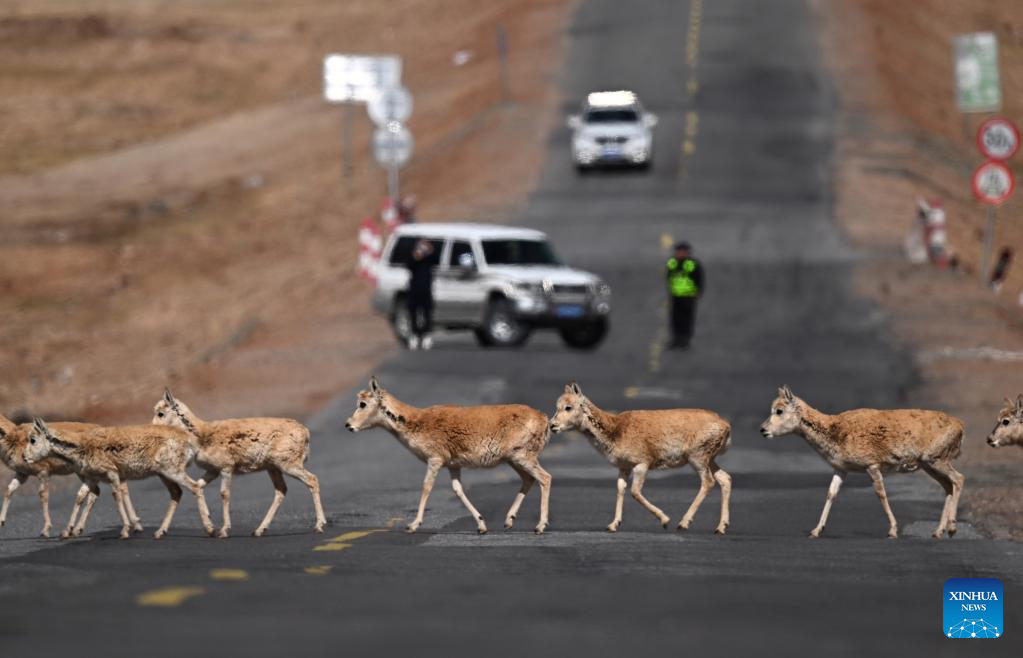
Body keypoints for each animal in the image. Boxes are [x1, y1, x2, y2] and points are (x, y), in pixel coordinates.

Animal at [0, 417, 142, 540]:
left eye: (33, 440)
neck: (12, 436)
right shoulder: (21, 474)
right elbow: (9, 490)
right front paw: (1, 521)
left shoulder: (43, 472)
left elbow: (43, 495)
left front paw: (45, 530)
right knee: (97, 492)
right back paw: (78, 529)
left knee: (109, 490)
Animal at [151, 388, 325, 536]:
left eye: (160, 413)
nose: (151, 429)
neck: (203, 434)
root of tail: (305, 432)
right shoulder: (212, 470)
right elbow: (198, 486)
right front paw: (208, 523)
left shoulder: (226, 468)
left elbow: (224, 494)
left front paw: (223, 531)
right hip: (273, 468)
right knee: (281, 490)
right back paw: (259, 530)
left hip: (288, 464)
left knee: (312, 480)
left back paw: (319, 526)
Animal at [343, 376, 552, 536]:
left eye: (362, 403)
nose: (348, 425)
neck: (415, 422)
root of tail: (544, 419)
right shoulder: (454, 465)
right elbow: (458, 490)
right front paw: (481, 525)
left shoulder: (434, 459)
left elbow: (426, 486)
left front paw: (413, 525)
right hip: (514, 459)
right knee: (528, 479)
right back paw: (509, 520)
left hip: (522, 456)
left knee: (545, 478)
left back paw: (539, 526)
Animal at [548, 382, 732, 532]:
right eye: (557, 406)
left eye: (568, 407)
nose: (552, 425)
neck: (615, 429)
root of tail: (726, 425)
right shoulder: (624, 467)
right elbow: (620, 489)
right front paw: (613, 525)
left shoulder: (642, 464)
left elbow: (635, 492)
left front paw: (665, 520)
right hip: (709, 459)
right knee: (725, 479)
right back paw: (721, 527)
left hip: (697, 458)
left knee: (708, 482)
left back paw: (683, 523)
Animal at [761, 386, 965, 540]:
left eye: (779, 410)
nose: (763, 429)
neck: (835, 431)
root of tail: (961, 427)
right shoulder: (840, 469)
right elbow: (831, 494)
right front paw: (816, 531)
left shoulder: (871, 464)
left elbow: (880, 493)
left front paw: (892, 531)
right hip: (929, 464)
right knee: (948, 486)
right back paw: (938, 532)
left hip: (936, 459)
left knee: (959, 478)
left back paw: (952, 529)